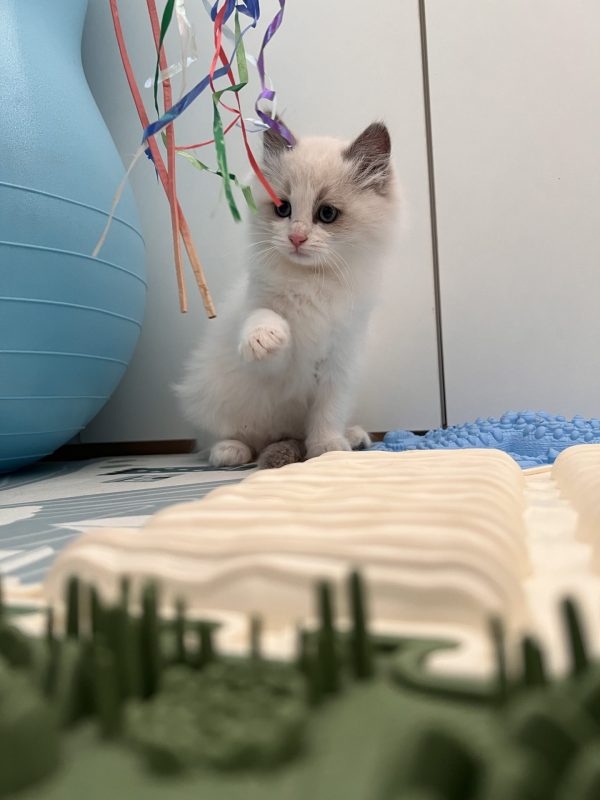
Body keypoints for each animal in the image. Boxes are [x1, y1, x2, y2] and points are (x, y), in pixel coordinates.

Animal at [175, 120, 398, 468]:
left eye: (327, 214)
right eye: (283, 209)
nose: (296, 238)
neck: (311, 283)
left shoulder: (340, 361)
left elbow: (328, 412)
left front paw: (327, 448)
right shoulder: (275, 359)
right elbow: (265, 318)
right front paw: (266, 336)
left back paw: (351, 437)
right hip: (211, 397)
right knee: (219, 438)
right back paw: (230, 451)